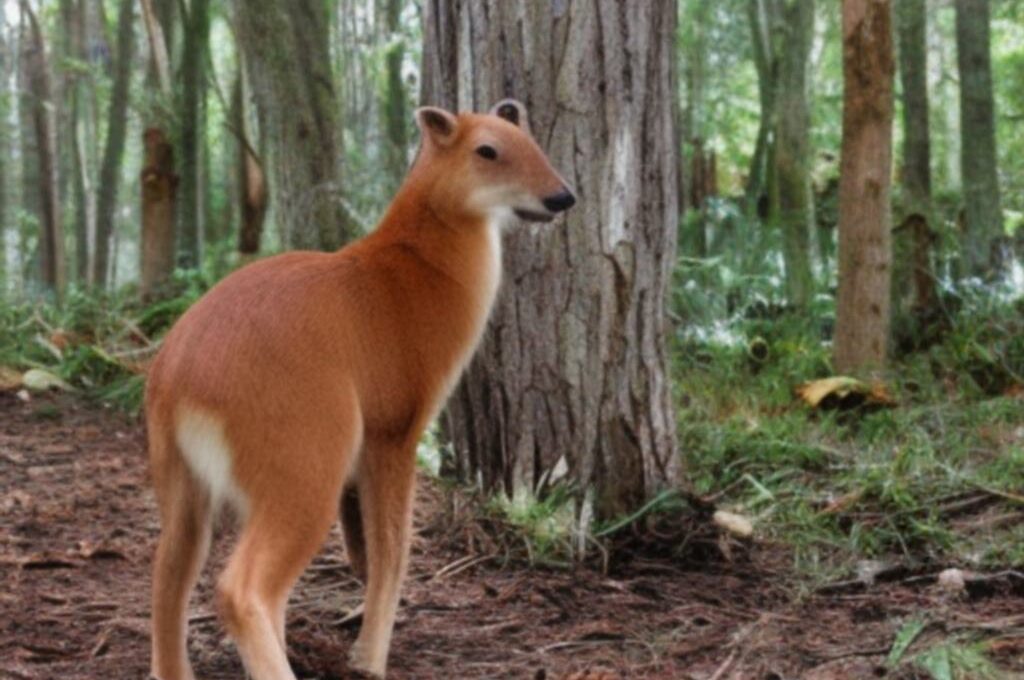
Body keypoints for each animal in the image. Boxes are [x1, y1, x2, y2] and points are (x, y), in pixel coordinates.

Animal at [145, 99, 577, 680]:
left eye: (531, 141)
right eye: (487, 150)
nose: (561, 196)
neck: (417, 270)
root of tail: (177, 378)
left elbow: (364, 553)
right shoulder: (396, 427)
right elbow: (392, 551)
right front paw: (368, 659)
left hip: (183, 488)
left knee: (168, 583)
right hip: (304, 470)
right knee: (241, 589)